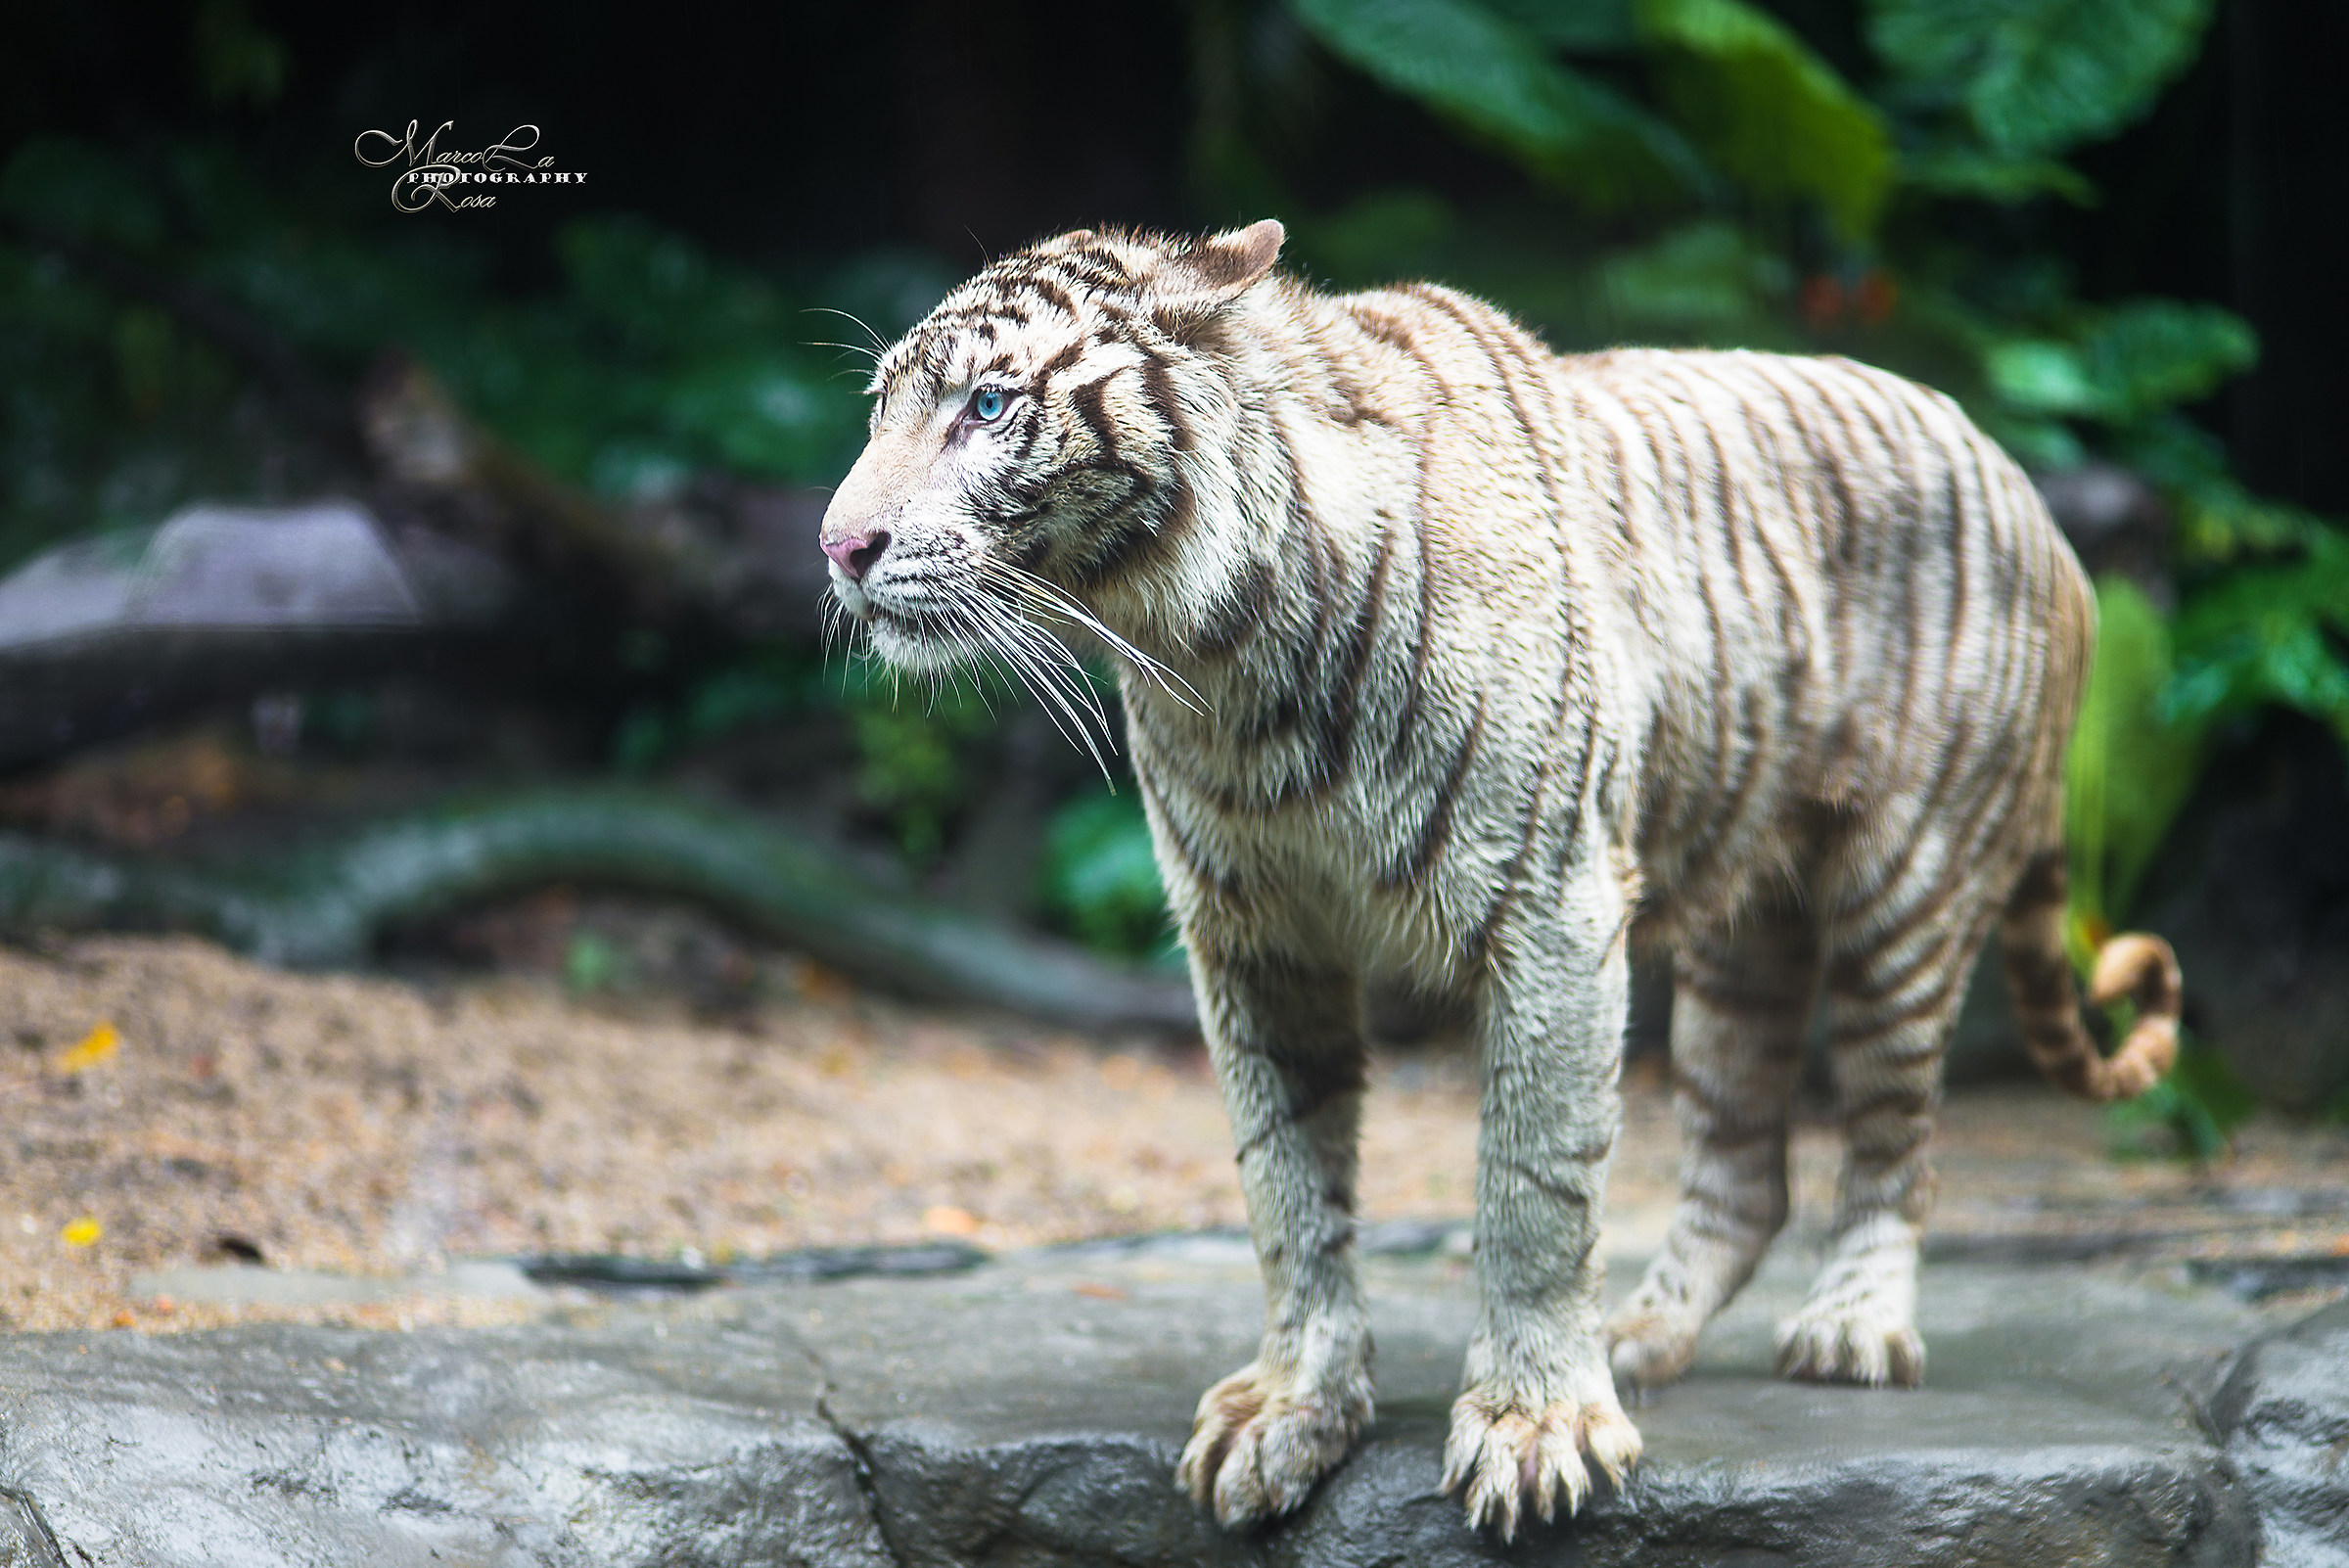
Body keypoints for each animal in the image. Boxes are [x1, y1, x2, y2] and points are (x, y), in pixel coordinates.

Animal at [816, 219, 2183, 1540]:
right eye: (880, 409)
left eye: (988, 405)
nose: (837, 546)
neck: (1218, 657)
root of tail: (2018, 480)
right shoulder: (1254, 935)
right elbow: (1286, 1182)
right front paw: (1289, 1410)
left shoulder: (1553, 910)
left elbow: (1534, 1185)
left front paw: (1535, 1432)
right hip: (1745, 944)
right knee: (1745, 1170)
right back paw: (1644, 1338)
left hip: (1906, 889)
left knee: (1897, 1137)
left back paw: (1849, 1329)